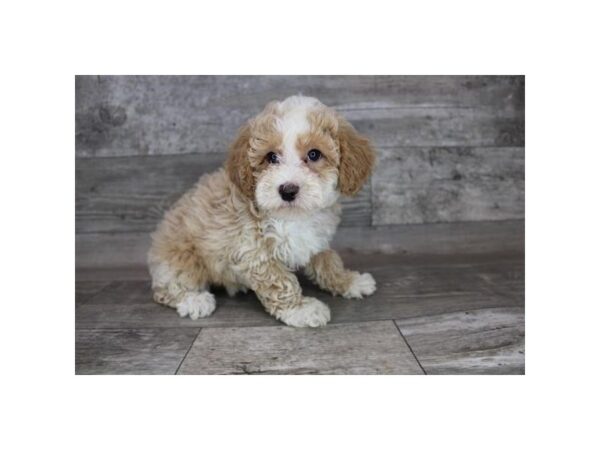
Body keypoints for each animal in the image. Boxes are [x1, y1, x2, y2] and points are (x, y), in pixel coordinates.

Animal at [147, 96, 376, 326]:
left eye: (314, 154)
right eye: (271, 157)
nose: (287, 190)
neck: (292, 216)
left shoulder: (315, 240)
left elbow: (328, 261)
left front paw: (349, 281)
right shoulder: (253, 250)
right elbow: (280, 282)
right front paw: (301, 310)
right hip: (181, 257)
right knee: (167, 286)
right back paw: (193, 300)